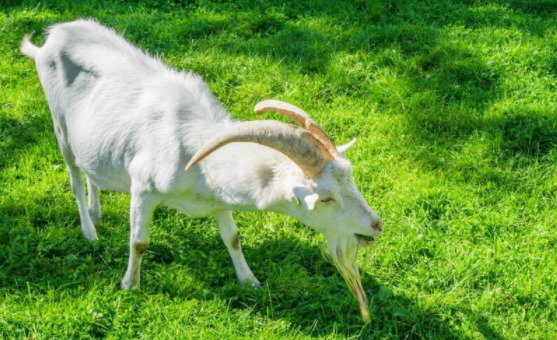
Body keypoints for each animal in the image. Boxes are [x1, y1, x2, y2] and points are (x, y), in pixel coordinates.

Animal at [20, 19, 382, 322]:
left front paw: (250, 280)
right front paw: (130, 285)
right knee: (74, 178)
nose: (376, 225)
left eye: (350, 178)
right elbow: (139, 242)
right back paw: (89, 231)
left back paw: (96, 213)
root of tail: (52, 38)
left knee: (90, 172)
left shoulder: (218, 198)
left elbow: (233, 238)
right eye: (327, 198)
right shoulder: (143, 189)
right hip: (60, 127)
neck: (194, 148)